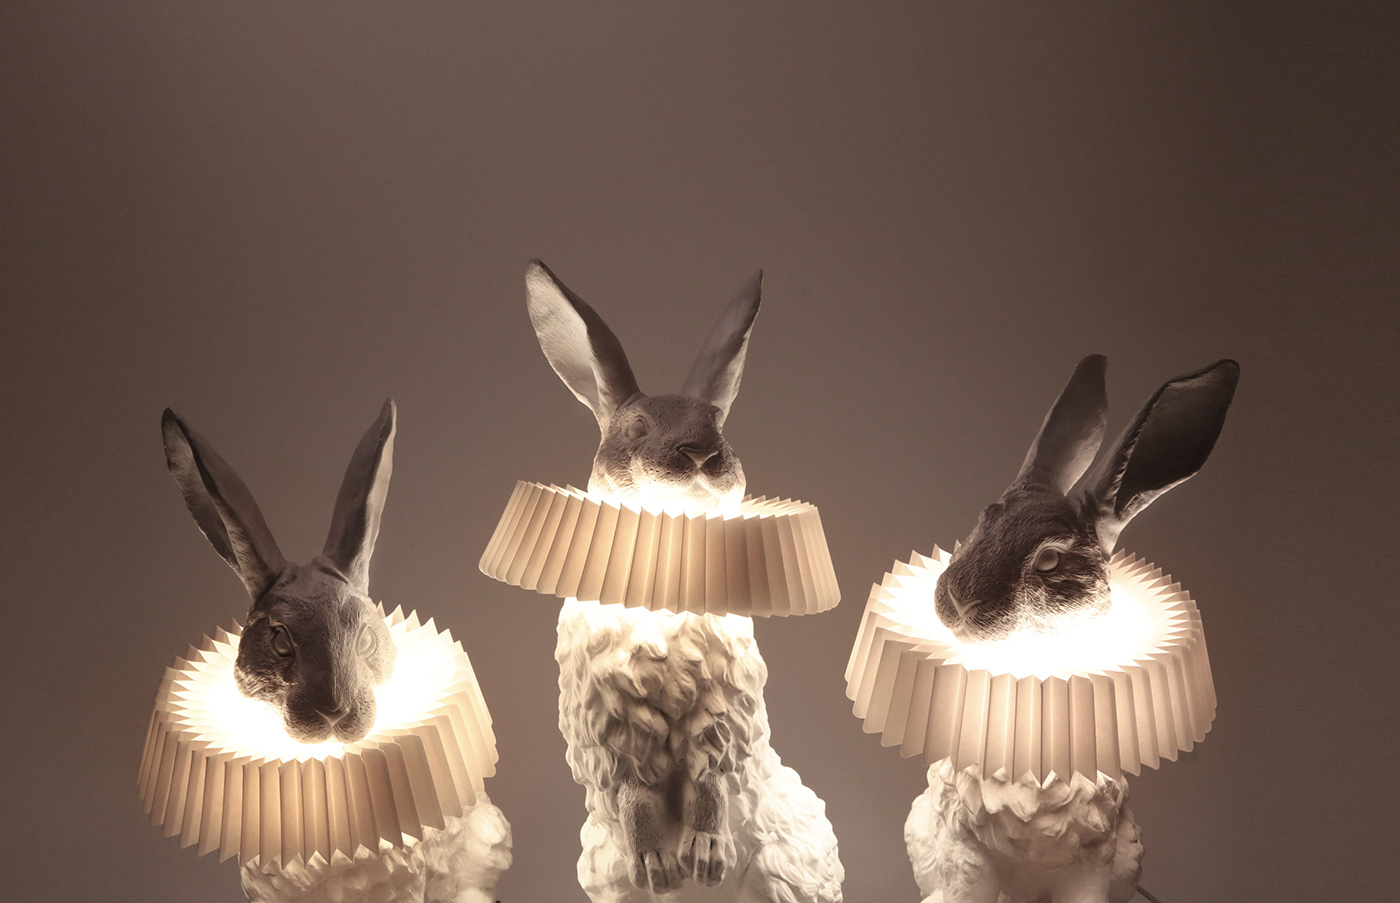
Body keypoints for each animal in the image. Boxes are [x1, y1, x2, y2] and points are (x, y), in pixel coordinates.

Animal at [525, 260, 843, 903]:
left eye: (717, 422)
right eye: (636, 426)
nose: (700, 454)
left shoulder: (718, 719)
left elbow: (709, 787)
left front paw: (705, 857)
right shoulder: (614, 733)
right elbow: (637, 799)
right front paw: (660, 867)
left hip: (783, 871)